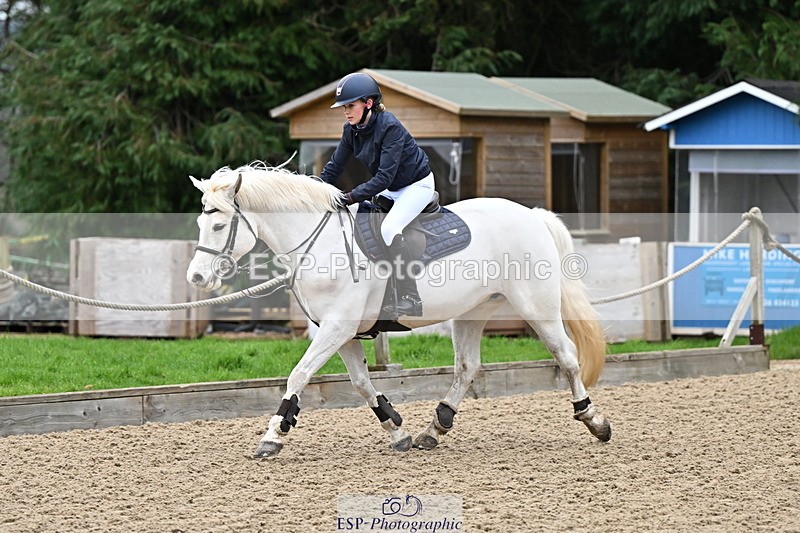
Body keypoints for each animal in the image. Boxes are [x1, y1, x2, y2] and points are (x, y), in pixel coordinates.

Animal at [186, 162, 612, 459]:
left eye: (220, 225)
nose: (196, 277)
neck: (320, 243)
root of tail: (531, 215)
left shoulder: (336, 328)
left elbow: (299, 375)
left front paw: (272, 436)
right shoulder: (340, 333)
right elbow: (361, 383)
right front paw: (398, 431)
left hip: (537, 307)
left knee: (566, 356)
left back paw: (594, 420)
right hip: (473, 311)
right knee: (467, 367)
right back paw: (435, 428)